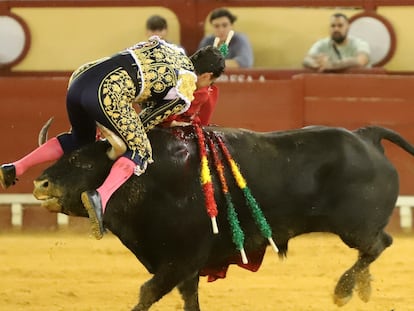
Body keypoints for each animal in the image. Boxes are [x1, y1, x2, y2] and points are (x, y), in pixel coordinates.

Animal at [32, 125, 414, 310]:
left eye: (81, 161)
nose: (40, 183)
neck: (154, 179)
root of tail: (366, 136)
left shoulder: (181, 259)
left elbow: (147, 293)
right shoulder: (183, 268)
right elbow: (189, 299)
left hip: (354, 226)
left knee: (379, 243)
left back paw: (343, 290)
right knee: (371, 251)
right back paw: (362, 288)